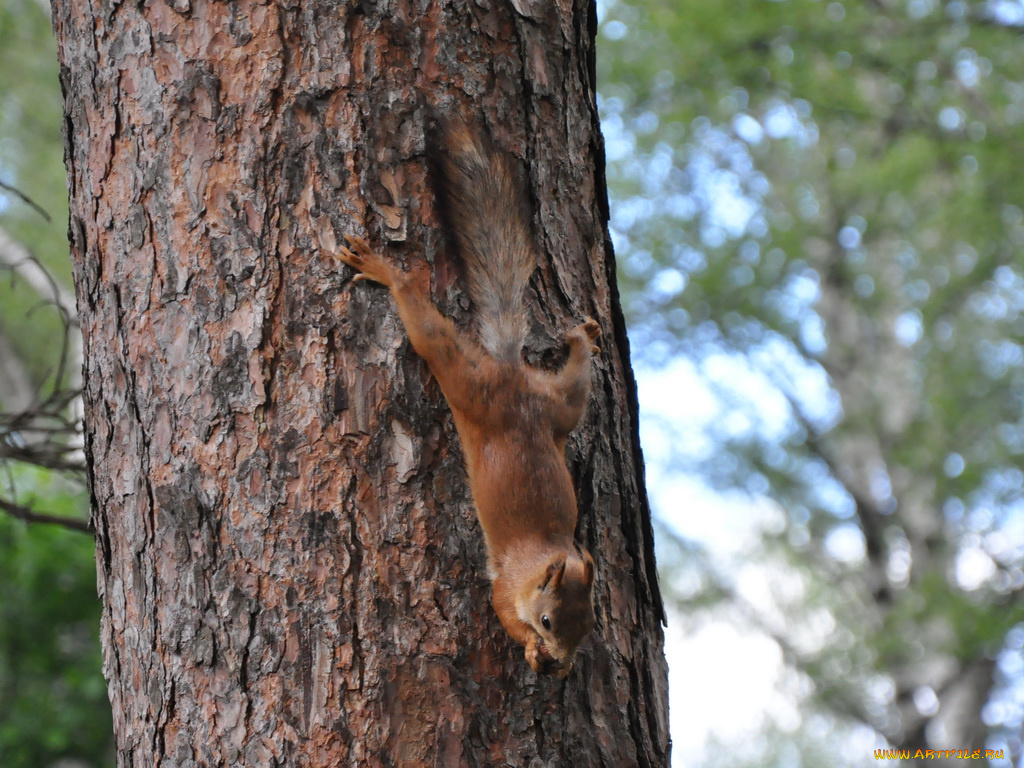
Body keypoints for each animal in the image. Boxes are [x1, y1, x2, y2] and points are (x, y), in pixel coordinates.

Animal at [335, 120, 598, 679]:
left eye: (588, 625)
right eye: (547, 620)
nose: (562, 657)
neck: (546, 556)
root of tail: (509, 374)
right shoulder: (505, 586)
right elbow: (503, 613)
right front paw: (531, 650)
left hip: (558, 409)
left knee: (574, 381)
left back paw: (582, 336)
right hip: (465, 379)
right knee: (429, 330)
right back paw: (388, 272)